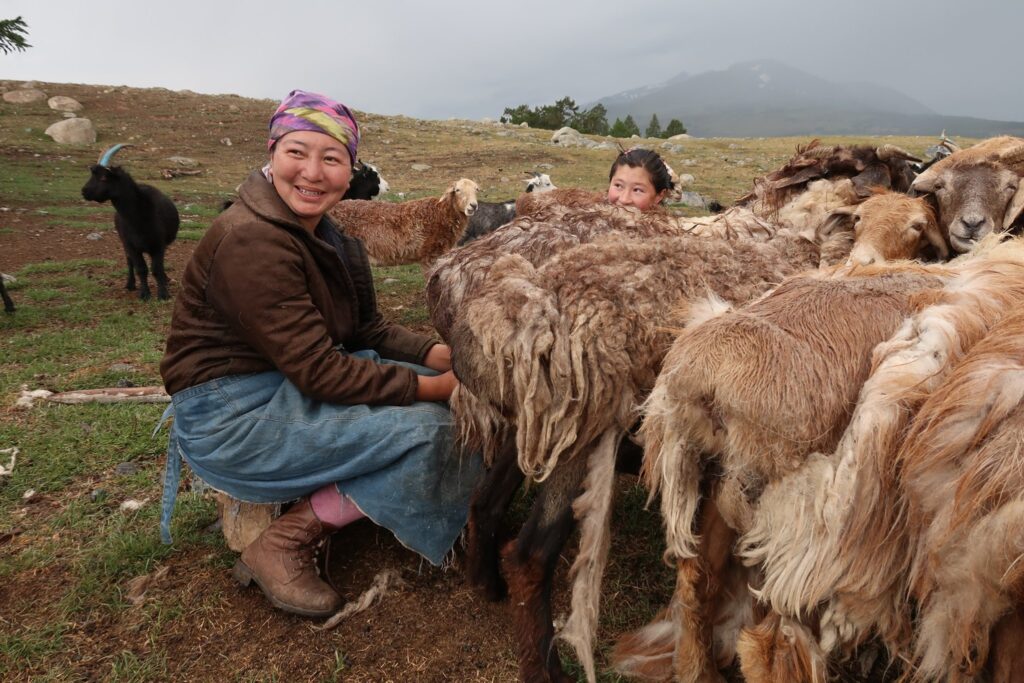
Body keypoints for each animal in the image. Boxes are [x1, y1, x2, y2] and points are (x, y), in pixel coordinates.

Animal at [80, 143, 181, 299]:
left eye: (103, 177)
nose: (84, 191)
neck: (139, 217)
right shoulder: (131, 245)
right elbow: (141, 268)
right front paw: (145, 294)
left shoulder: (158, 245)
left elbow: (156, 269)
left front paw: (163, 294)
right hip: (125, 243)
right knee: (129, 262)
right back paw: (130, 284)